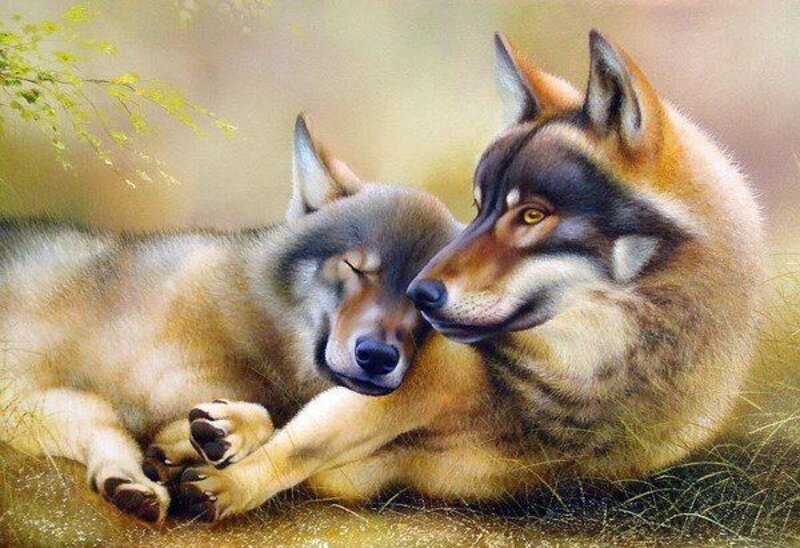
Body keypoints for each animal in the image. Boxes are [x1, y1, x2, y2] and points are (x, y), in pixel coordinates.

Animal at [0, 115, 458, 522]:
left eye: (422, 299)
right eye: (356, 267)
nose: (378, 356)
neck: (260, 320)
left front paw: (197, 441)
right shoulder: (34, 392)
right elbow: (111, 420)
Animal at [176, 30, 763, 522]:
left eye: (532, 215)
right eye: (479, 207)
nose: (418, 293)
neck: (583, 385)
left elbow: (310, 445)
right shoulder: (408, 385)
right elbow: (300, 439)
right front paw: (226, 476)